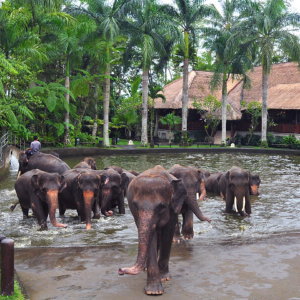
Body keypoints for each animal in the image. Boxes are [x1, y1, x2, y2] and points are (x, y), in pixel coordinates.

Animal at [118, 166, 211, 296]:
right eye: (135, 205)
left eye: (161, 207)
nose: (120, 270)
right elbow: (150, 237)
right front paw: (153, 291)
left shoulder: (172, 205)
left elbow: (168, 231)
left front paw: (164, 278)